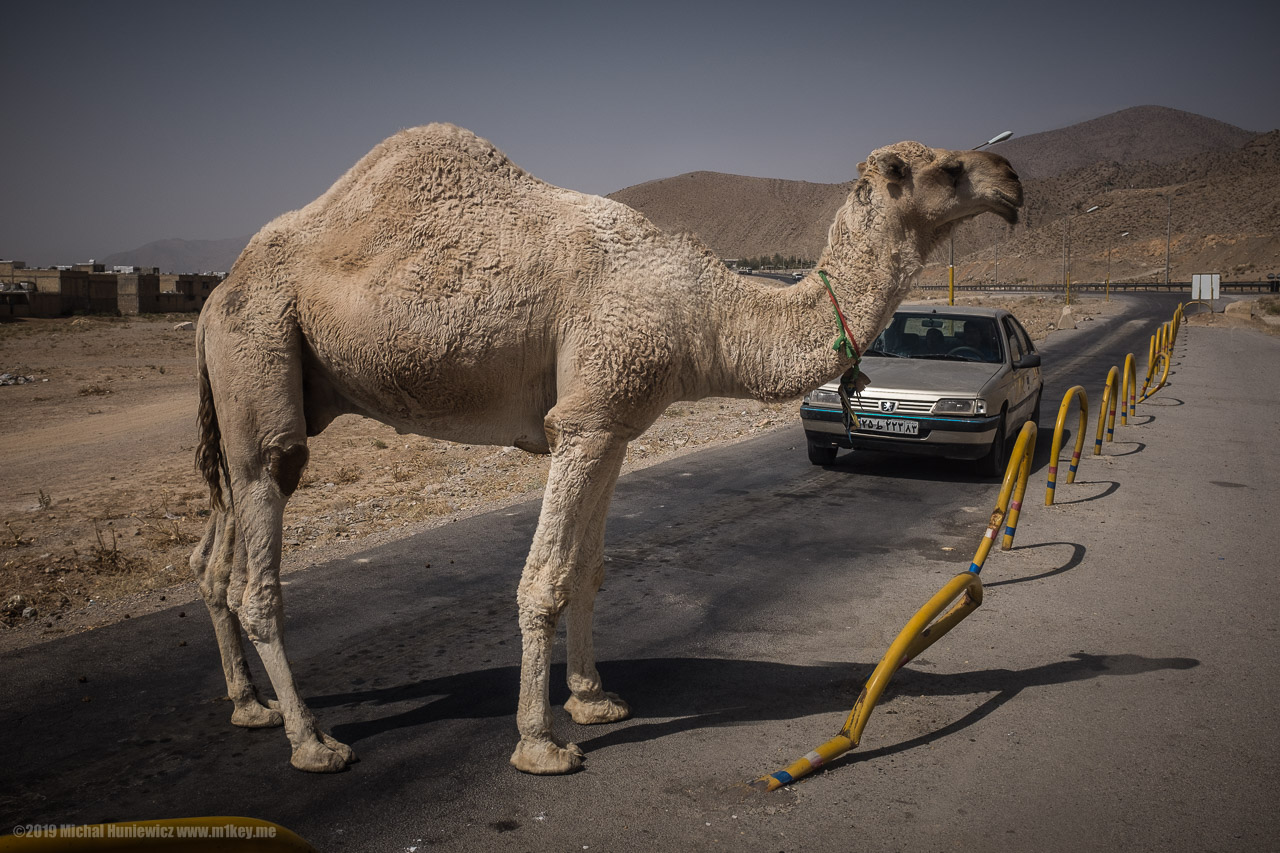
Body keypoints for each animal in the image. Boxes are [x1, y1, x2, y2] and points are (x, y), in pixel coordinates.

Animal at [190, 123, 1021, 775]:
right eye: (947, 169)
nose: (1012, 179)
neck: (702, 312)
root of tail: (214, 293)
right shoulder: (584, 417)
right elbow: (543, 579)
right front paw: (540, 742)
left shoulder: (615, 423)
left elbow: (587, 571)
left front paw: (593, 700)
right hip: (261, 352)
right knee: (258, 559)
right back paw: (312, 740)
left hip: (256, 395)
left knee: (214, 555)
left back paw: (251, 706)